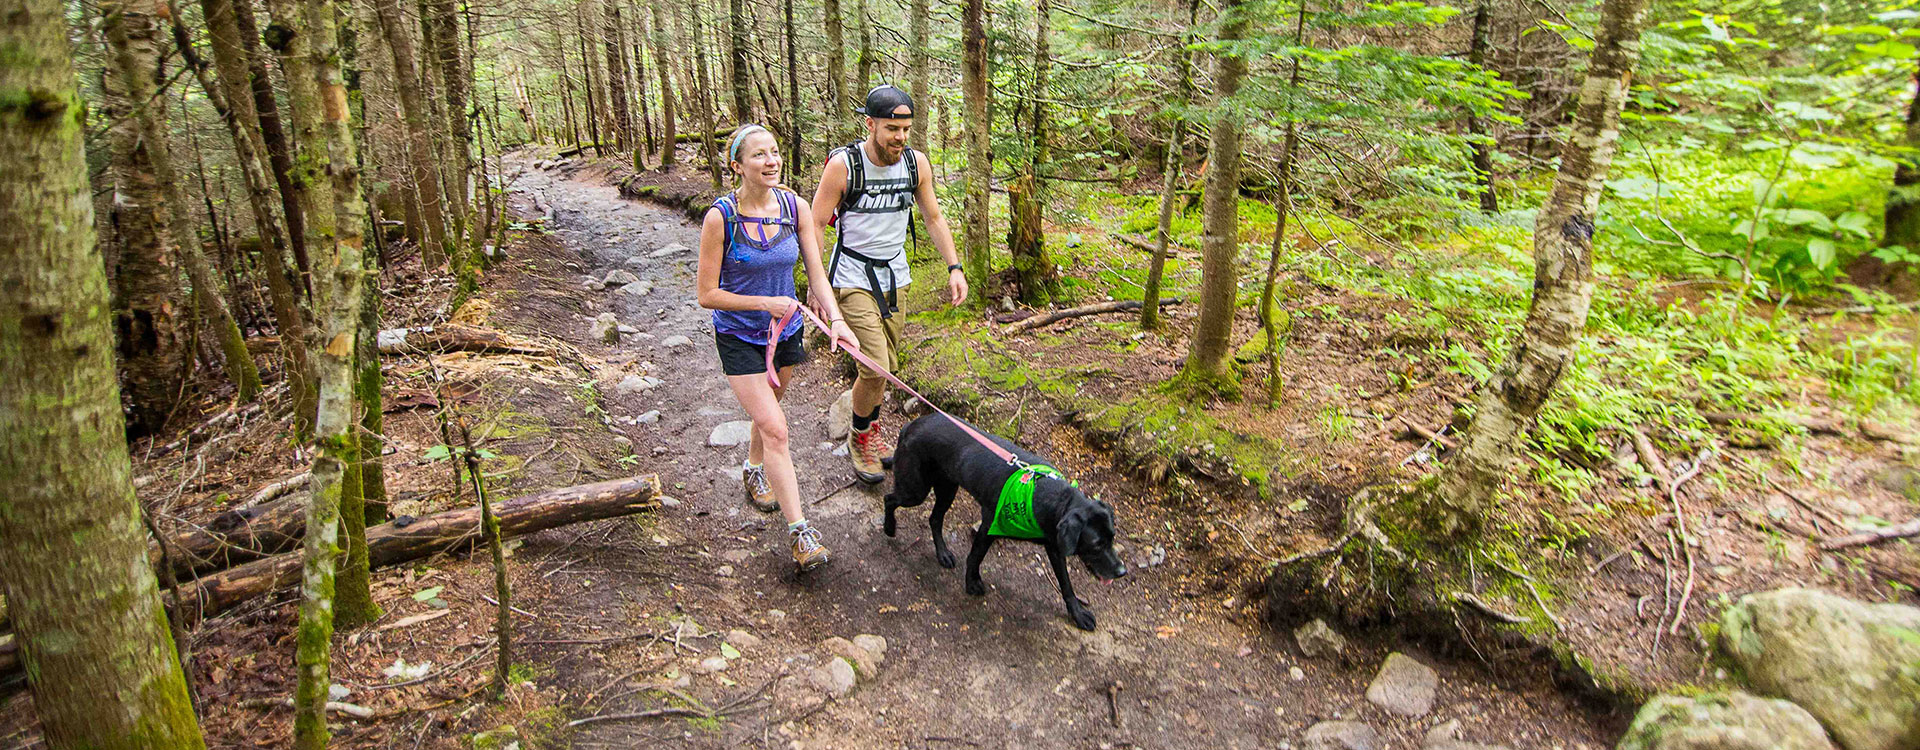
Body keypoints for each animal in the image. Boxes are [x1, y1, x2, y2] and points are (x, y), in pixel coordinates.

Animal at [883, 414, 1121, 632]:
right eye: (1096, 544)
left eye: (1112, 538)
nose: (1122, 571)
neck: (1044, 494)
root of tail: (912, 424)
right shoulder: (989, 526)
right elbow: (975, 557)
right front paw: (971, 583)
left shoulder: (1055, 546)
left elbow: (1066, 585)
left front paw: (1077, 613)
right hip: (916, 490)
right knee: (889, 499)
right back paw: (889, 527)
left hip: (947, 488)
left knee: (934, 519)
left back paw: (942, 554)